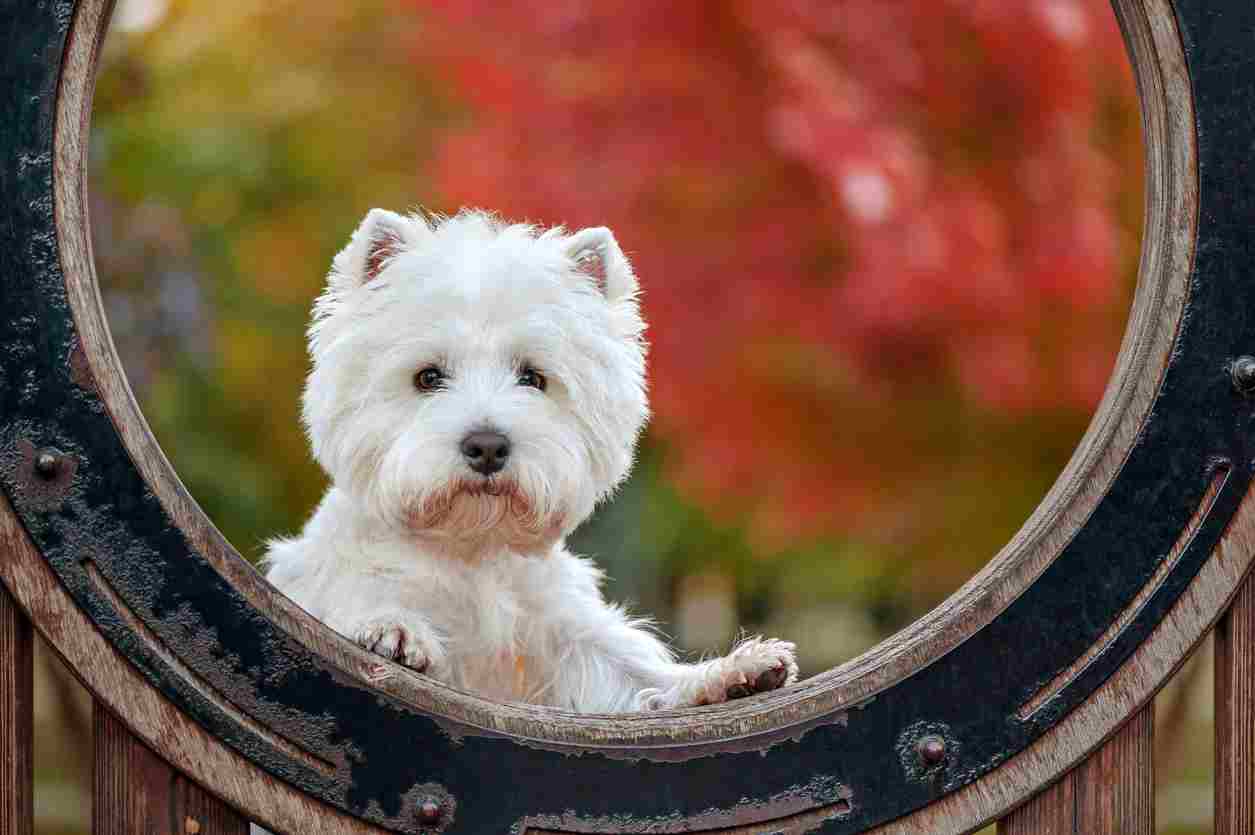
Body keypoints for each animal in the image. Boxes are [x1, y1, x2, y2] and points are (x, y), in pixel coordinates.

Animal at [264, 209, 798, 708]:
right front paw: (394, 631)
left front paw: (735, 674)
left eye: (534, 378)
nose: (487, 446)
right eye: (428, 377)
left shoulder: (565, 631)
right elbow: (364, 601)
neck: (472, 550)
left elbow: (636, 675)